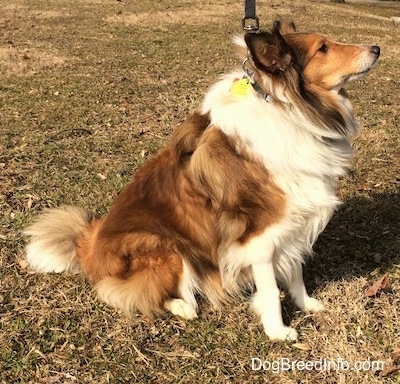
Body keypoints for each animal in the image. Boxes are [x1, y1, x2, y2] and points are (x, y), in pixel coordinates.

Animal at [23, 20, 380, 342]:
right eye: (323, 48)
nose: (376, 48)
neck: (289, 110)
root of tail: (89, 246)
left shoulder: (294, 219)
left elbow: (295, 273)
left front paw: (307, 304)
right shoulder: (260, 236)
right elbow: (270, 289)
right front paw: (278, 332)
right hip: (166, 245)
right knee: (133, 293)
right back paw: (183, 306)